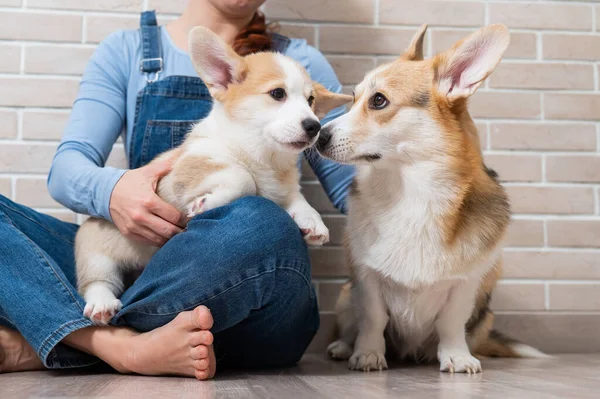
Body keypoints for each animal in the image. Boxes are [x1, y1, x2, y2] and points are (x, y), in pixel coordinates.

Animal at [318, 25, 548, 376]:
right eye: (353, 99)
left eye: (379, 100)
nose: (317, 134)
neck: (410, 190)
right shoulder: (367, 278)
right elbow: (373, 318)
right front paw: (368, 353)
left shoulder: (466, 283)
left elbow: (451, 323)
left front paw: (456, 356)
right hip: (345, 294)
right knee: (349, 326)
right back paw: (344, 347)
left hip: (485, 314)